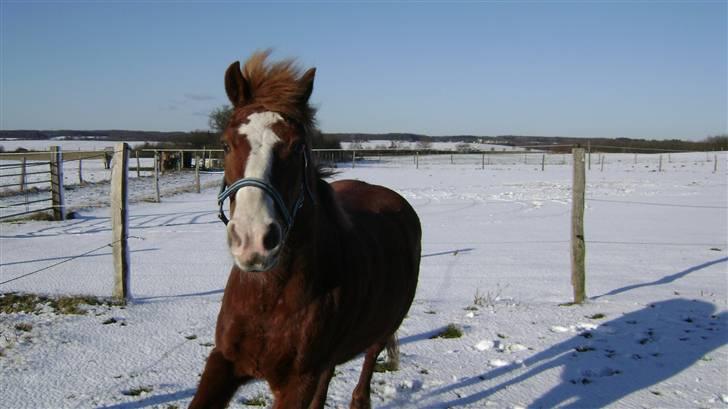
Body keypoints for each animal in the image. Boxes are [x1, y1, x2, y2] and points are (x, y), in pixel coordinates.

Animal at [189, 51, 420, 408]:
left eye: (297, 147)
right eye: (226, 145)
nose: (253, 240)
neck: (269, 296)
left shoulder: (298, 381)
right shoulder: (223, 360)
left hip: (381, 331)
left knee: (366, 370)